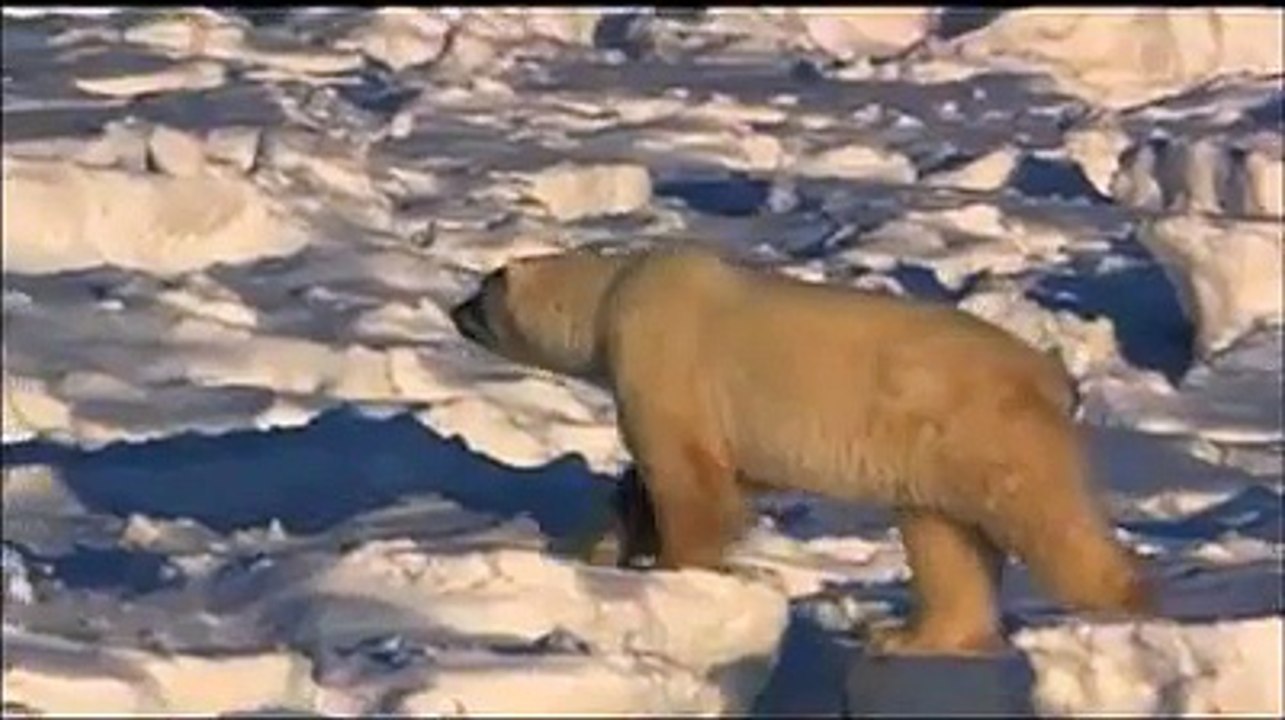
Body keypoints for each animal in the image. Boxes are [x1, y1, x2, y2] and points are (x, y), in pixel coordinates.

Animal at [450, 246, 1154, 655]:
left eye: (480, 291)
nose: (453, 310)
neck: (613, 295)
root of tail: (1055, 376)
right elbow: (707, 477)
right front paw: (606, 540)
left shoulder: (660, 359)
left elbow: (688, 480)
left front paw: (677, 572)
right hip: (931, 458)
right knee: (944, 541)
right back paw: (905, 637)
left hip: (984, 431)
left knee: (1045, 521)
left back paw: (1122, 608)